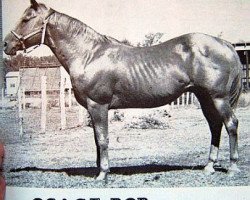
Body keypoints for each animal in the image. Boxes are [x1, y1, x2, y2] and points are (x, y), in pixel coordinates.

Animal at [3, 0, 242, 180]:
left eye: (26, 18)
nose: (6, 44)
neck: (89, 55)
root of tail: (226, 44)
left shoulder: (98, 105)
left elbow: (102, 139)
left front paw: (103, 174)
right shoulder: (93, 108)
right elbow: (96, 139)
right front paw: (99, 170)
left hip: (218, 98)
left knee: (231, 124)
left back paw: (232, 166)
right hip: (205, 98)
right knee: (215, 126)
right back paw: (209, 166)